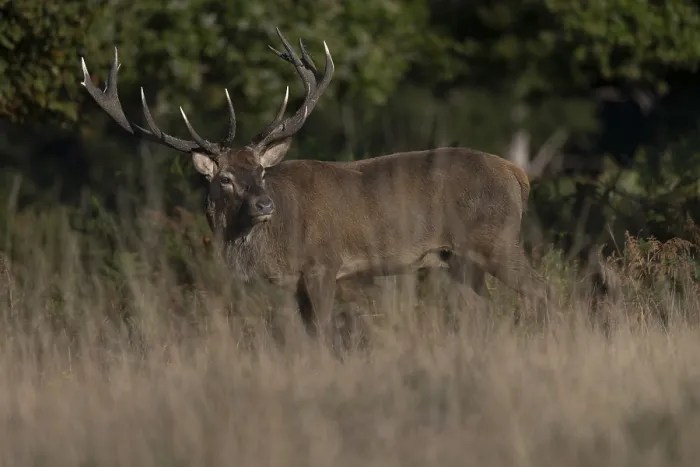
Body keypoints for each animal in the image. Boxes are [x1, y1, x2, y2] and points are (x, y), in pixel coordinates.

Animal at [80, 28, 551, 347]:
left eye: (261, 172)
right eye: (225, 179)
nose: (264, 204)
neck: (272, 246)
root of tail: (518, 174)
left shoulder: (324, 263)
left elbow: (323, 331)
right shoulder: (294, 284)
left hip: (495, 239)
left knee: (539, 289)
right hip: (458, 260)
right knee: (485, 308)